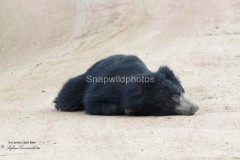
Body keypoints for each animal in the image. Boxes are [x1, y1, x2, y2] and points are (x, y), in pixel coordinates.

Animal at [54, 54, 199, 115]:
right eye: (175, 97)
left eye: (182, 93)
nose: (195, 107)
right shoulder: (106, 85)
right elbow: (92, 101)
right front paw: (128, 110)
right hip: (84, 80)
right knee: (68, 96)